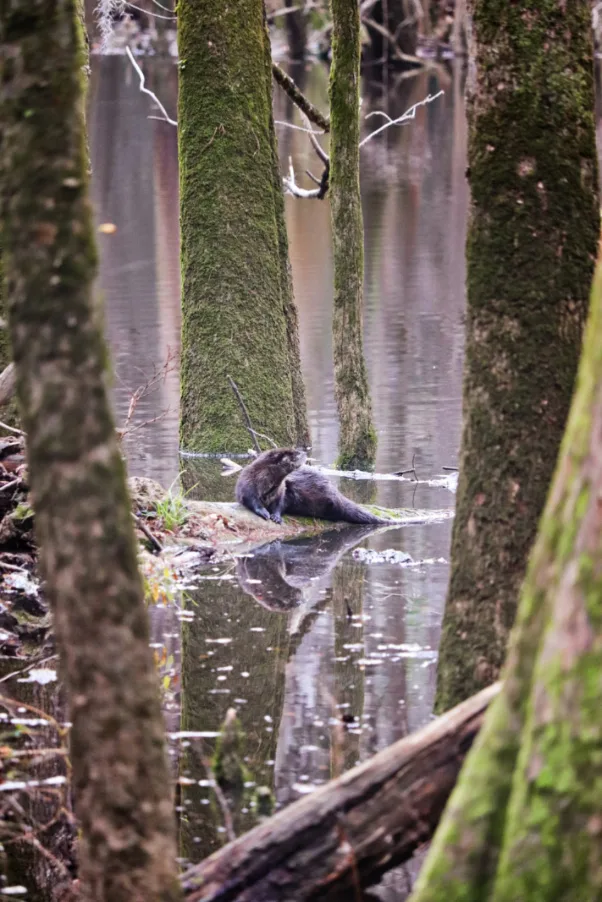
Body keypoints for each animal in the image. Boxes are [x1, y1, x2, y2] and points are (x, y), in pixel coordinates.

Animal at [234, 448, 394, 528]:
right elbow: (251, 500)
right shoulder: (247, 484)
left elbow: (280, 503)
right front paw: (264, 512)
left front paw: (276, 516)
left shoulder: (282, 490)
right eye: (295, 454)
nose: (305, 452)